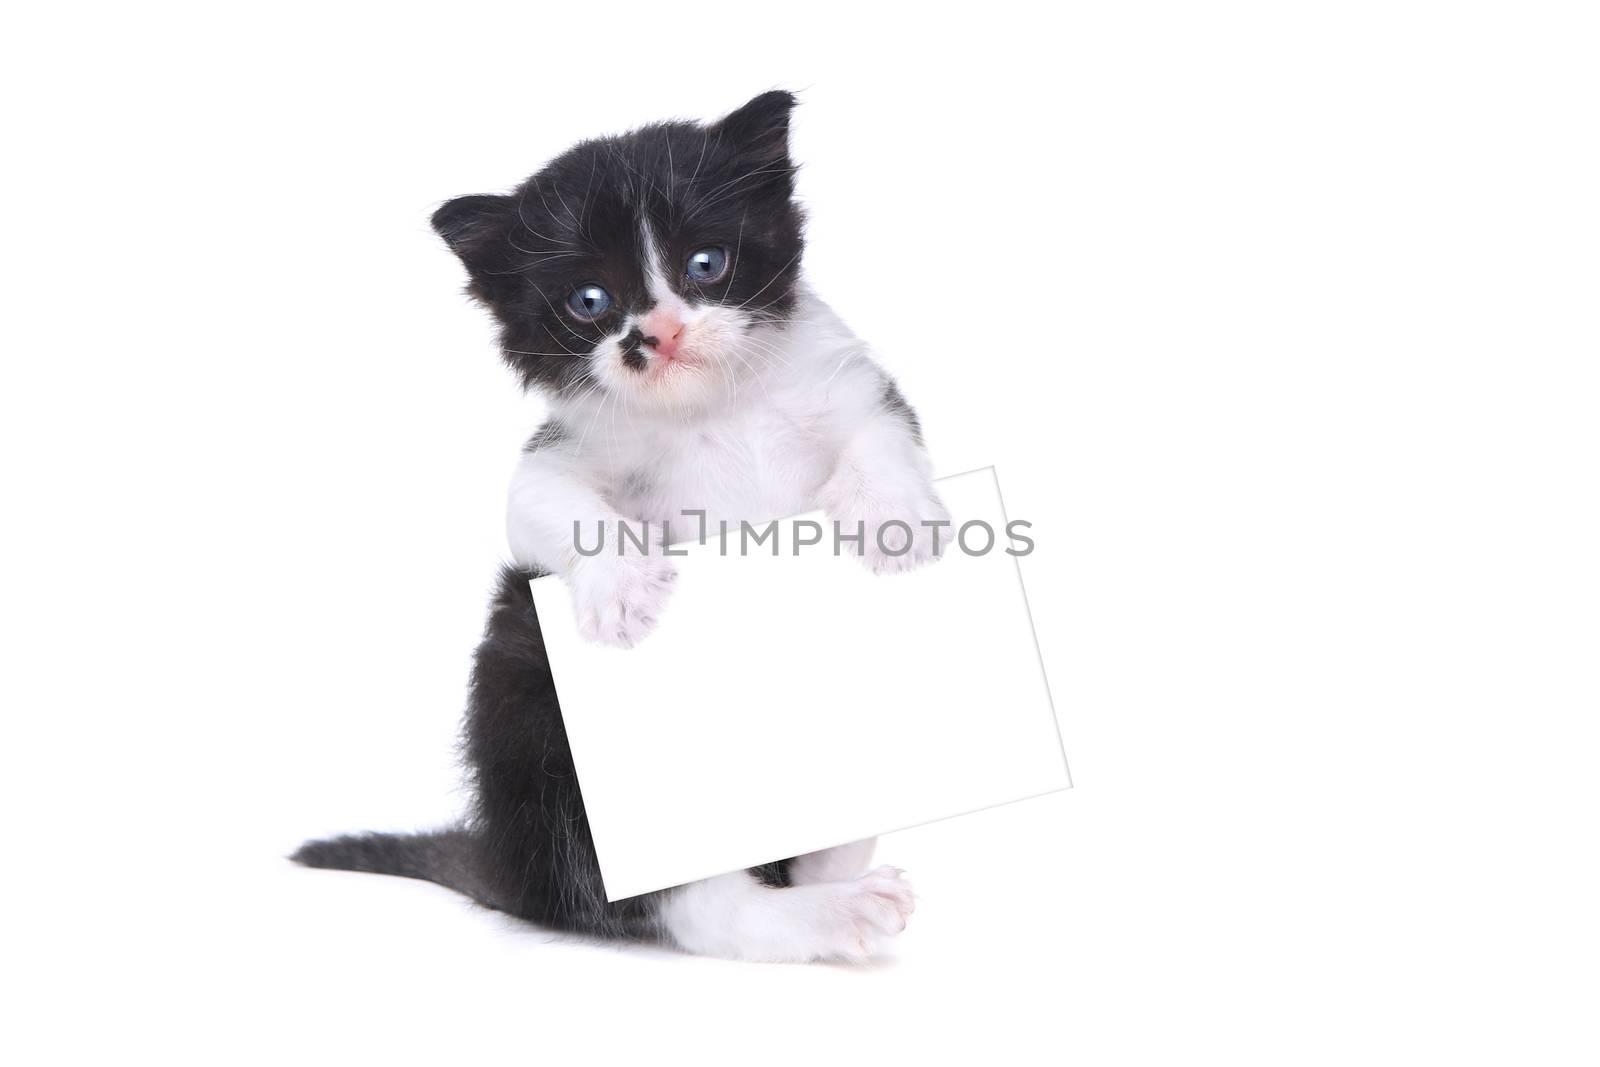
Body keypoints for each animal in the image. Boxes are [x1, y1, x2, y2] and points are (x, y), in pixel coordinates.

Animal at [297, 89, 947, 959]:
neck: (713, 410)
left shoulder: (851, 386)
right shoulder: (558, 455)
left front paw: (890, 518)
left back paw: (834, 859)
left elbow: (881, 431)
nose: (658, 334)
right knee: (686, 902)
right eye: (590, 301)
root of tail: (512, 869)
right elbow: (545, 501)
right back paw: (827, 909)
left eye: (705, 263)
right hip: (531, 707)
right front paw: (621, 591)